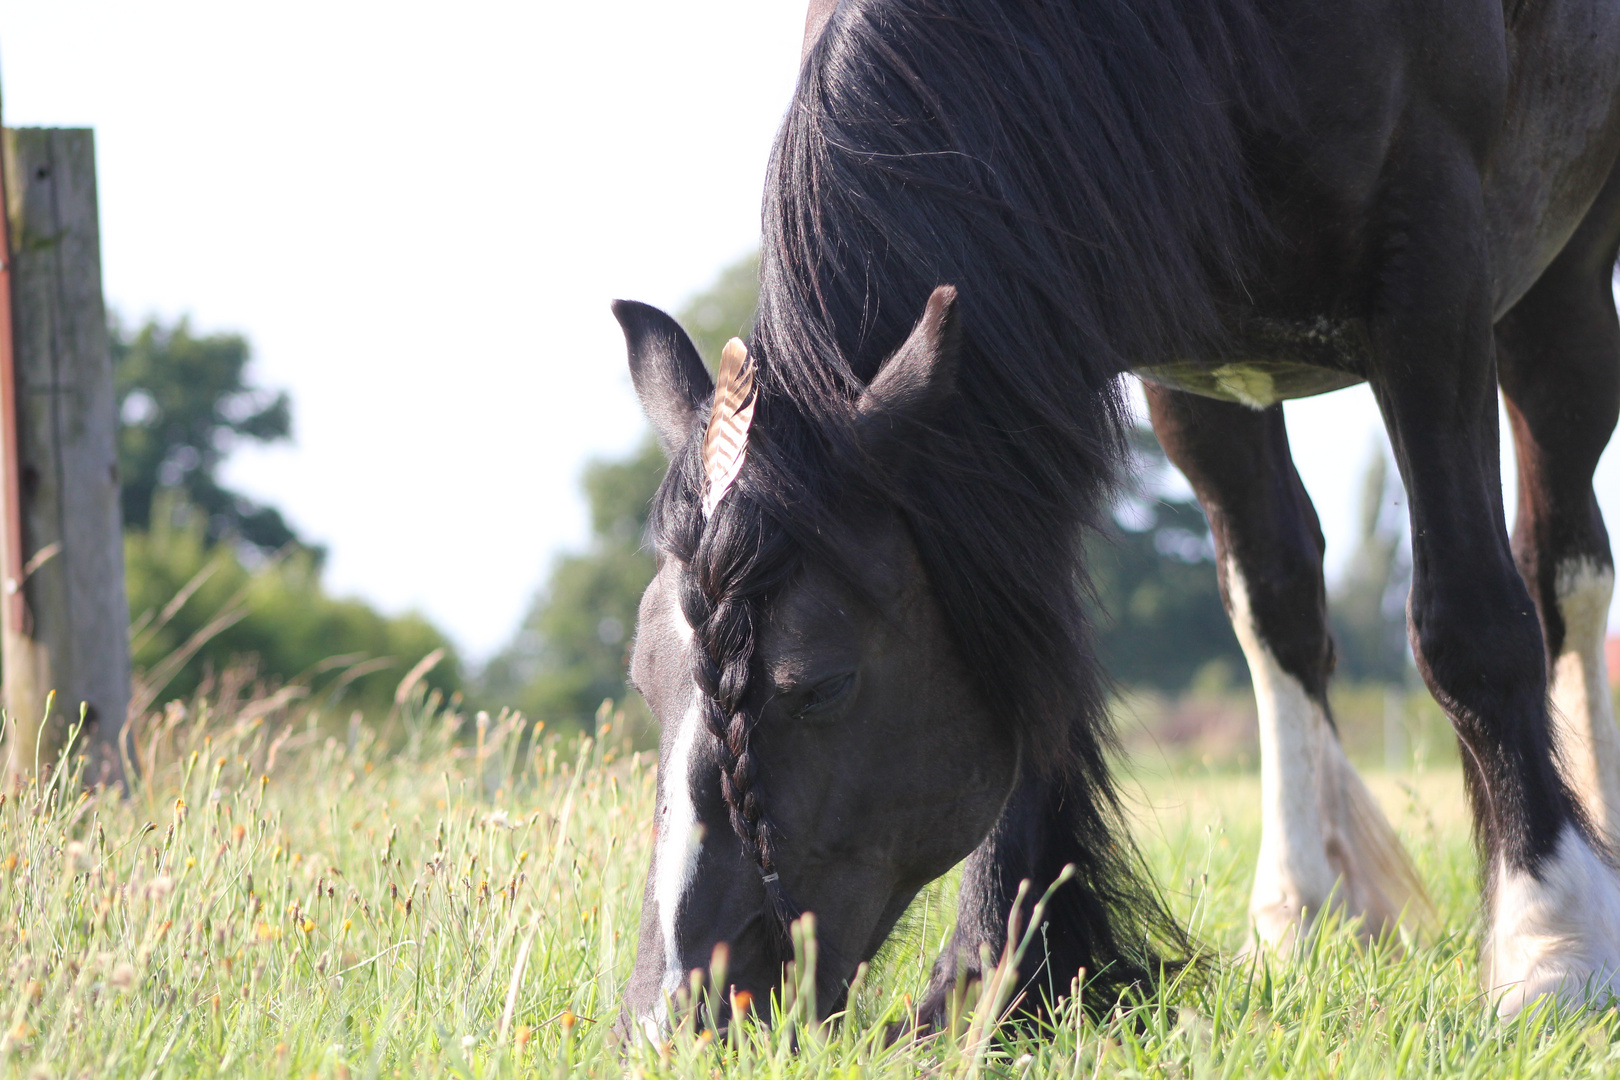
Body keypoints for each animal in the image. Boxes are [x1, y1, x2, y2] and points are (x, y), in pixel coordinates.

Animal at [605, 0, 1620, 1036]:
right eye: (644, 677)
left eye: (820, 685)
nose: (673, 1013)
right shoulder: (1083, 343)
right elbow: (1045, 648)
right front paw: (992, 977)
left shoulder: (1435, 279)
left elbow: (1471, 622)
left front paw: (1553, 945)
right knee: (1283, 596)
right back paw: (1301, 908)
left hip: (1556, 284)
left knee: (1562, 569)